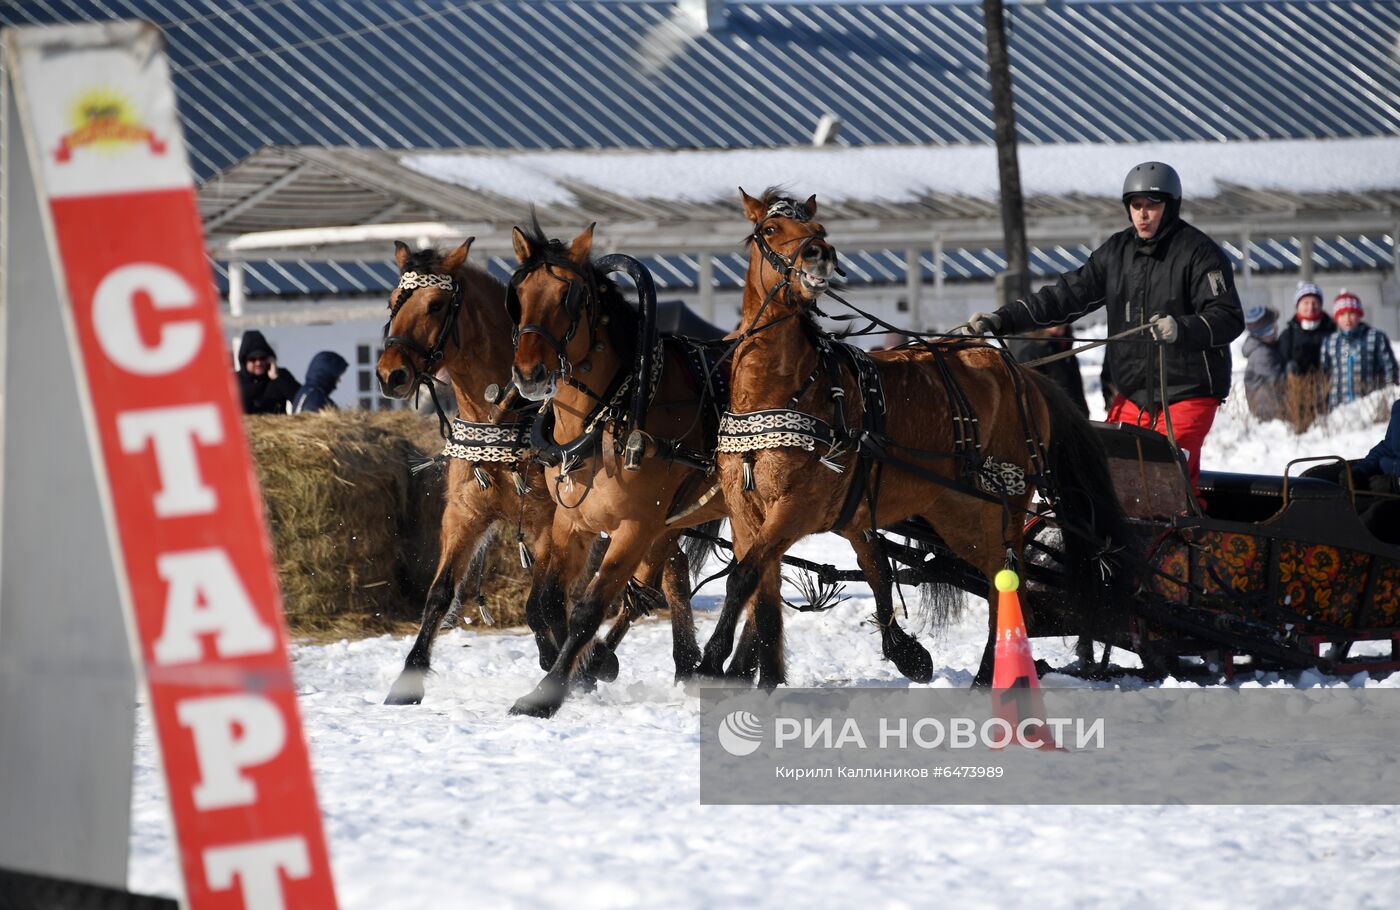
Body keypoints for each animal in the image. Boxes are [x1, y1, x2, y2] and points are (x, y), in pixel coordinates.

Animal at [378, 235, 694, 702]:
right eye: (392, 302)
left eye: (436, 305)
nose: (390, 374)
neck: (505, 415)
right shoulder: (464, 515)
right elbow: (439, 594)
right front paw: (408, 680)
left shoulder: (550, 519)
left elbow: (539, 603)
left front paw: (568, 666)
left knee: (666, 576)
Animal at [705, 191, 1131, 688]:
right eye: (770, 230)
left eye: (821, 230)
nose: (818, 253)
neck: (777, 389)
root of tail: (1021, 373)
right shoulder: (746, 512)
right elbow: (763, 597)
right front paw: (763, 678)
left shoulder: (796, 506)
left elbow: (743, 578)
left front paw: (710, 662)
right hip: (956, 512)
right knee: (997, 577)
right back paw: (987, 675)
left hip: (1002, 503)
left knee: (1010, 582)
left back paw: (996, 675)